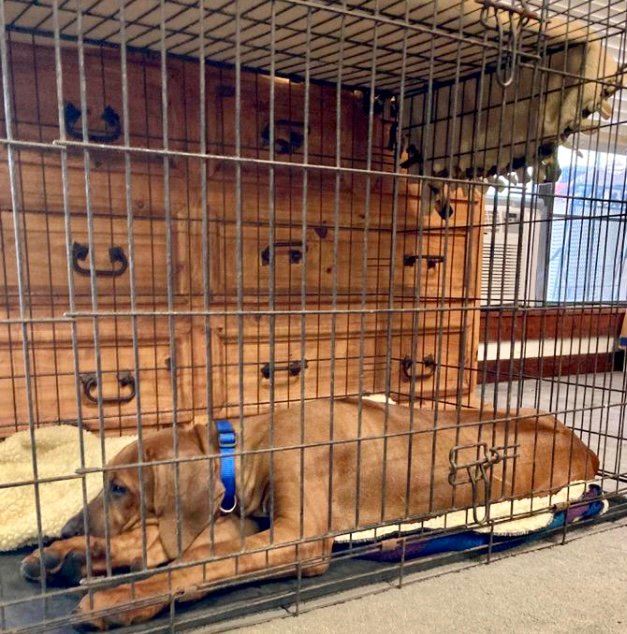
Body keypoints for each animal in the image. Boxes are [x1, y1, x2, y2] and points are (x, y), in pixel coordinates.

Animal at [20, 400, 600, 628]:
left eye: (118, 487)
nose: (69, 527)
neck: (251, 446)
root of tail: (588, 449)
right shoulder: (246, 518)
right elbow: (184, 546)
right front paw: (68, 555)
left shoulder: (298, 536)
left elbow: (201, 560)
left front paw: (117, 598)